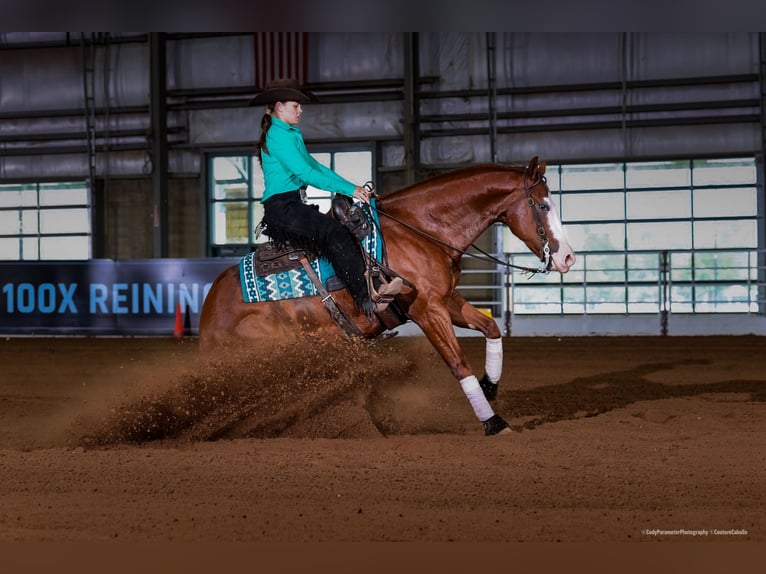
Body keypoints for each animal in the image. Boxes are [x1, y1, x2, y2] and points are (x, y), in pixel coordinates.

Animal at [198, 156, 576, 436]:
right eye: (543, 206)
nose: (568, 258)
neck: (420, 229)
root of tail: (208, 318)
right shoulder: (427, 311)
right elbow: (457, 363)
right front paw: (493, 422)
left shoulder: (444, 300)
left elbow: (491, 328)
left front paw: (490, 387)